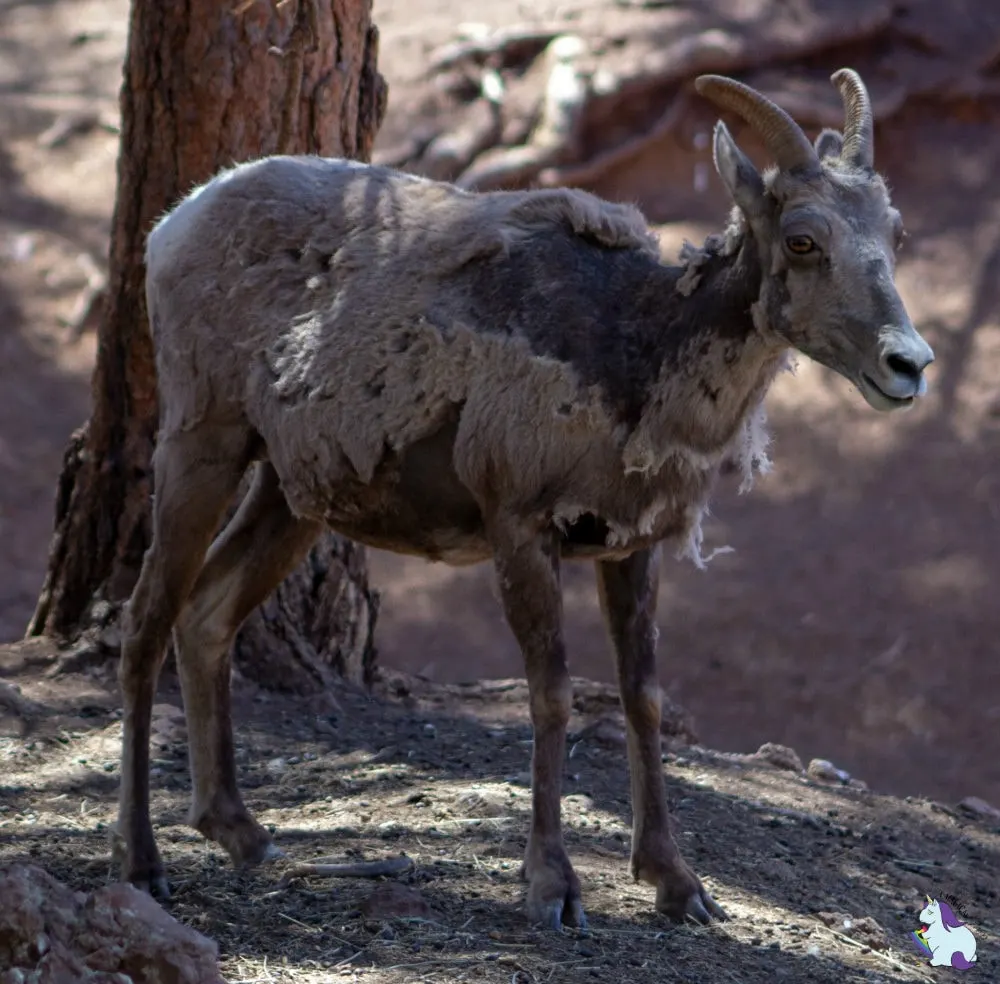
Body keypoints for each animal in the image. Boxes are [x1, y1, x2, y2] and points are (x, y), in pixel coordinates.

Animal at [119, 71, 936, 932]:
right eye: (804, 239)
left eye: (894, 232)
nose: (908, 365)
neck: (636, 353)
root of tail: (172, 226)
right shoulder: (520, 530)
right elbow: (552, 697)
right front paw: (553, 887)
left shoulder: (632, 548)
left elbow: (643, 699)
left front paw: (679, 886)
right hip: (202, 444)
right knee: (145, 624)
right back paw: (142, 865)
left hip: (289, 495)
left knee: (206, 616)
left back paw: (242, 834)